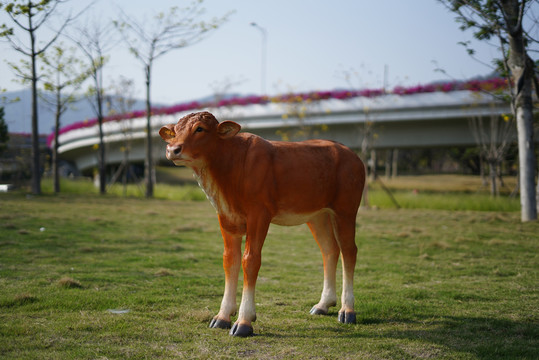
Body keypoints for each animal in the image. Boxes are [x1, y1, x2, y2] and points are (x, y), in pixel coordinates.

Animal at [158, 112, 364, 338]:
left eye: (200, 128)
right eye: (175, 131)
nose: (173, 149)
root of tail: (349, 153)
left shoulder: (259, 214)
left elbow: (250, 260)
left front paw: (244, 321)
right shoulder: (226, 217)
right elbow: (230, 260)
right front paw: (222, 316)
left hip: (346, 208)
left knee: (349, 251)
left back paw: (348, 310)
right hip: (318, 215)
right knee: (329, 250)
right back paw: (323, 304)